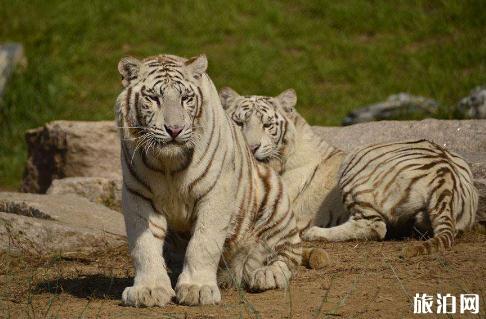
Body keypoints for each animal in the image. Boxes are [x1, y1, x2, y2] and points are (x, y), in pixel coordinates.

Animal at [116, 54, 302, 308]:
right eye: (153, 98)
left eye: (185, 98)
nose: (174, 129)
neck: (168, 164)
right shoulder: (138, 195)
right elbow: (144, 246)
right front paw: (149, 290)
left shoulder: (216, 192)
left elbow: (203, 243)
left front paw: (196, 288)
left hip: (275, 202)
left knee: (287, 254)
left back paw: (265, 274)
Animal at [222, 87, 480, 258]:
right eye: (239, 123)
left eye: (267, 125)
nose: (250, 147)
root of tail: (445, 173)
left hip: (358, 159)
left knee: (375, 226)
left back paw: (315, 233)